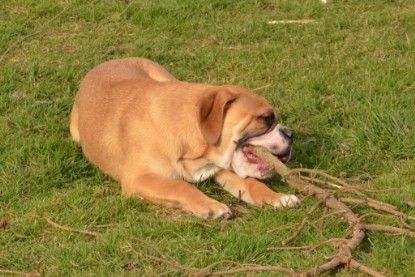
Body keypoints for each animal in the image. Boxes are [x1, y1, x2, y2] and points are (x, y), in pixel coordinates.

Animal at [70, 57, 300, 218]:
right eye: (265, 119)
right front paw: (211, 205)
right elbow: (179, 185)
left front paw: (278, 198)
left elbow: (252, 183)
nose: (290, 134)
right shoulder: (138, 178)